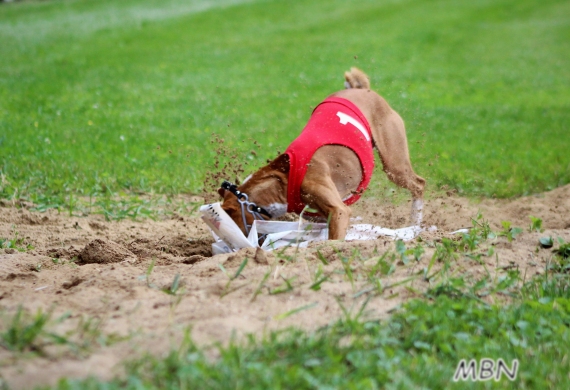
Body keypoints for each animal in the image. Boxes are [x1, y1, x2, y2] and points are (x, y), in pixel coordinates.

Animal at [215, 67, 424, 239]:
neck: (283, 178)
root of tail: (362, 89)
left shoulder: (338, 210)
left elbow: (333, 241)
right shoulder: (323, 216)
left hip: (394, 165)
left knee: (419, 184)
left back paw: (415, 224)